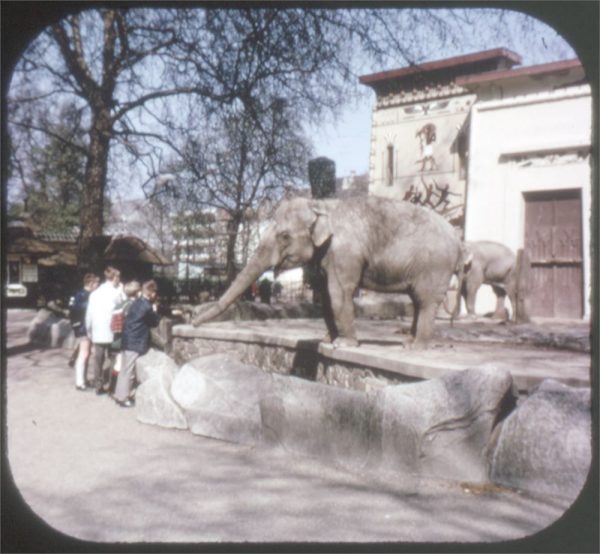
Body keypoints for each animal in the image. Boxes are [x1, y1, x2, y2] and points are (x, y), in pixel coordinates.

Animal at [193, 196, 464, 348]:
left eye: (284, 236)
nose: (192, 322)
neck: (321, 205)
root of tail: (457, 238)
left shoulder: (344, 252)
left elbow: (338, 292)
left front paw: (345, 344)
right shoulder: (326, 256)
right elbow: (324, 295)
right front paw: (328, 340)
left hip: (435, 266)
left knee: (425, 300)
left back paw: (417, 347)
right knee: (417, 300)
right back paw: (408, 342)